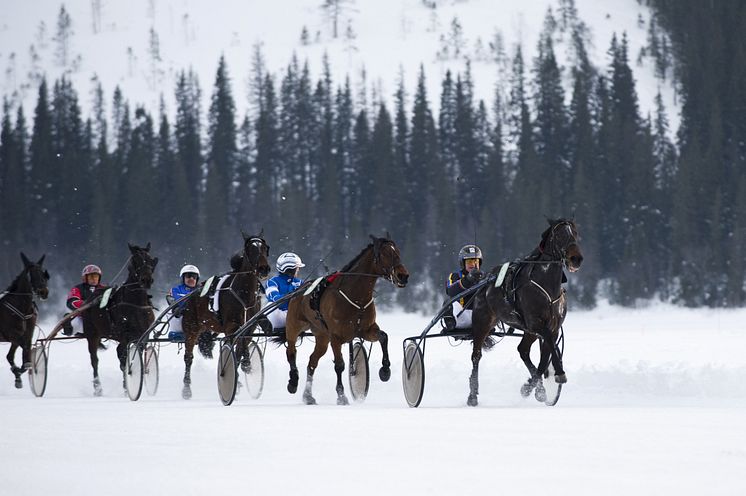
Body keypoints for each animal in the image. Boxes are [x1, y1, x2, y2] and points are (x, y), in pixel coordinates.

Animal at [0, 254, 49, 390]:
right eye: (32, 274)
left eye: (44, 274)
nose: (44, 292)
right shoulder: (12, 335)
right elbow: (25, 351)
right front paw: (19, 370)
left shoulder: (26, 334)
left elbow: (13, 356)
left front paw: (19, 374)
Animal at [81, 242, 157, 398]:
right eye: (135, 260)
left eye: (150, 259)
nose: (146, 280)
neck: (137, 304)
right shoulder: (125, 335)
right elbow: (124, 359)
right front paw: (127, 388)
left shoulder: (143, 336)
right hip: (92, 333)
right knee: (94, 359)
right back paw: (98, 388)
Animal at [180, 232, 270, 400]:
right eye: (250, 249)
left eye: (265, 248)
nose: (263, 268)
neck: (245, 294)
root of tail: (192, 293)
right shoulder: (232, 326)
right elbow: (236, 346)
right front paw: (241, 369)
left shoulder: (250, 327)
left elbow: (240, 350)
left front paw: (243, 369)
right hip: (191, 328)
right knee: (188, 357)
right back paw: (186, 389)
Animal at [280, 235, 410, 404]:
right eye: (385, 254)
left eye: (398, 252)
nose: (403, 276)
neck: (356, 296)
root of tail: (299, 289)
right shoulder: (336, 337)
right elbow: (340, 365)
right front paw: (341, 396)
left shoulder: (366, 330)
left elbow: (383, 337)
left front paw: (385, 370)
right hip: (294, 326)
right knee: (291, 352)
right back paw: (293, 382)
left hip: (322, 336)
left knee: (312, 362)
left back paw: (308, 396)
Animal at [464, 219, 580, 404]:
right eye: (560, 235)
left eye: (575, 233)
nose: (576, 258)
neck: (546, 285)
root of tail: (484, 280)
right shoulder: (537, 324)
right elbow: (548, 346)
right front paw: (559, 373)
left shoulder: (552, 327)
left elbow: (544, 358)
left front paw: (534, 389)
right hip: (483, 322)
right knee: (476, 355)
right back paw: (472, 396)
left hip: (527, 331)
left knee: (523, 350)